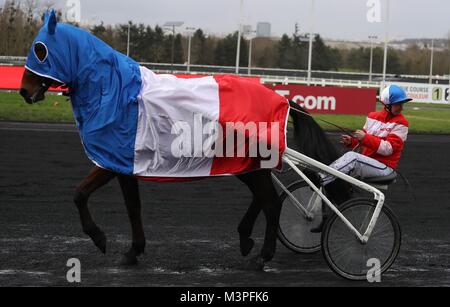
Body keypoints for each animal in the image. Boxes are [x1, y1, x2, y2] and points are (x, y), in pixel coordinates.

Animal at [18, 10, 352, 270]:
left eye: (39, 50)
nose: (23, 91)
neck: (117, 91)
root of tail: (278, 98)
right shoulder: (126, 165)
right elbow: (132, 207)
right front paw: (133, 250)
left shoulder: (112, 159)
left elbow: (80, 194)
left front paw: (100, 238)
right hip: (246, 163)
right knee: (263, 198)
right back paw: (246, 237)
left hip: (249, 162)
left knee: (270, 203)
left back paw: (263, 256)